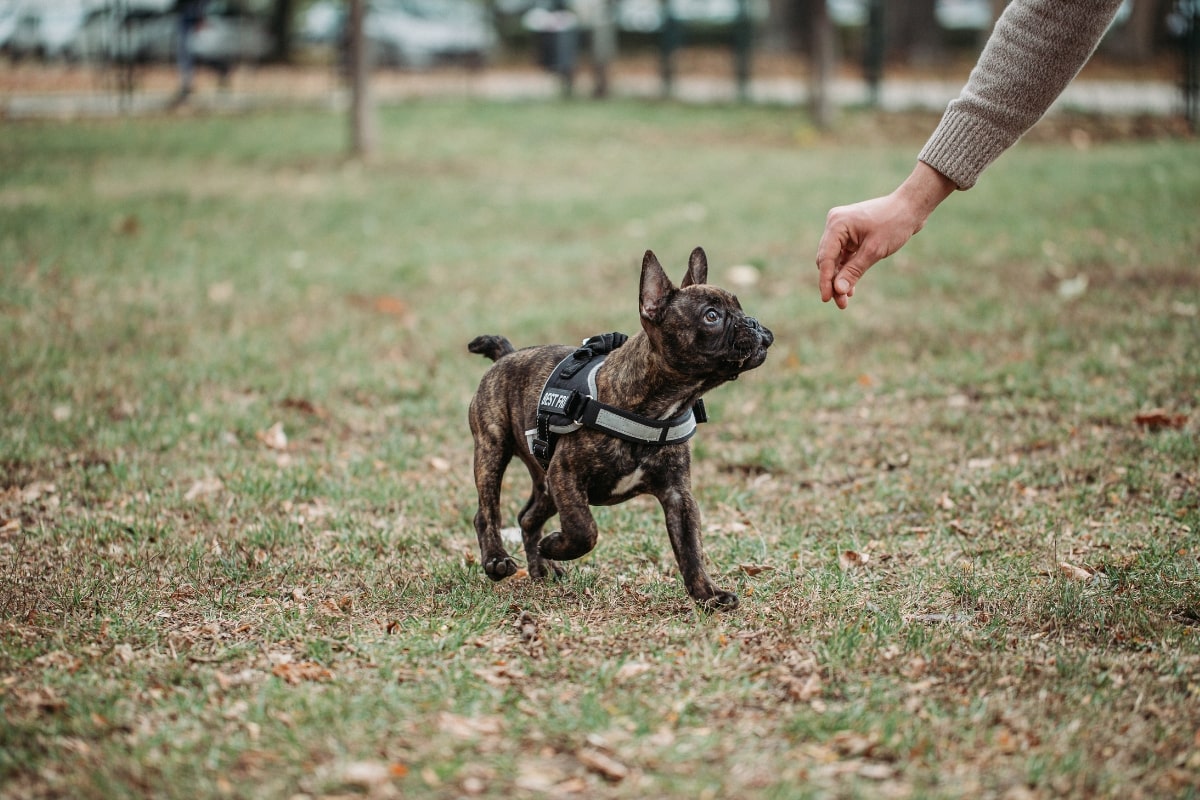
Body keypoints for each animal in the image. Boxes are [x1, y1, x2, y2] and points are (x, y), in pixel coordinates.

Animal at [463, 247, 772, 609]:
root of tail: (506, 355)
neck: (661, 404)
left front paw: (708, 594)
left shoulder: (678, 495)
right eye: (711, 316)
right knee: (487, 511)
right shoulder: (567, 476)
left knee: (527, 517)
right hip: (494, 449)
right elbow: (584, 529)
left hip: (546, 479)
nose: (753, 322)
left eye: (740, 308)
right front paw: (557, 544)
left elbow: (690, 549)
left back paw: (541, 566)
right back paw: (498, 560)